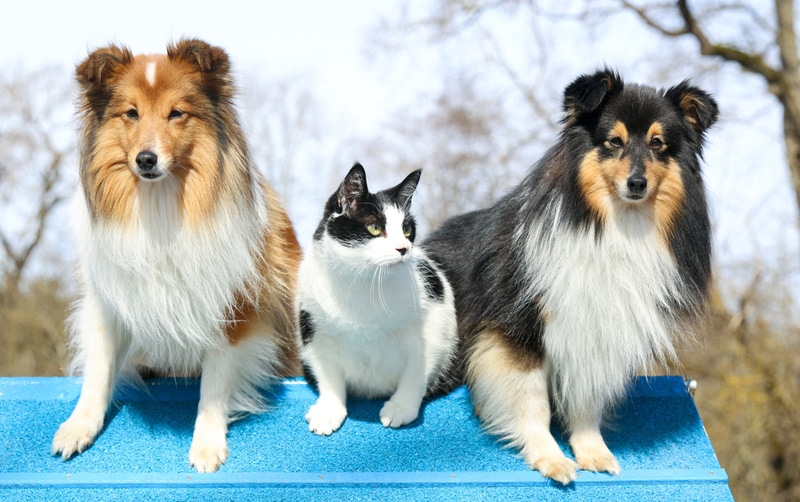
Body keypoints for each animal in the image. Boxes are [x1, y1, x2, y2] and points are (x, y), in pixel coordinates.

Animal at [294, 164, 460, 436]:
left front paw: (400, 408)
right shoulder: (314, 331)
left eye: (407, 230)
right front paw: (329, 409)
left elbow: (416, 372)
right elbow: (328, 376)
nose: (404, 248)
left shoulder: (432, 329)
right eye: (374, 228)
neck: (365, 285)